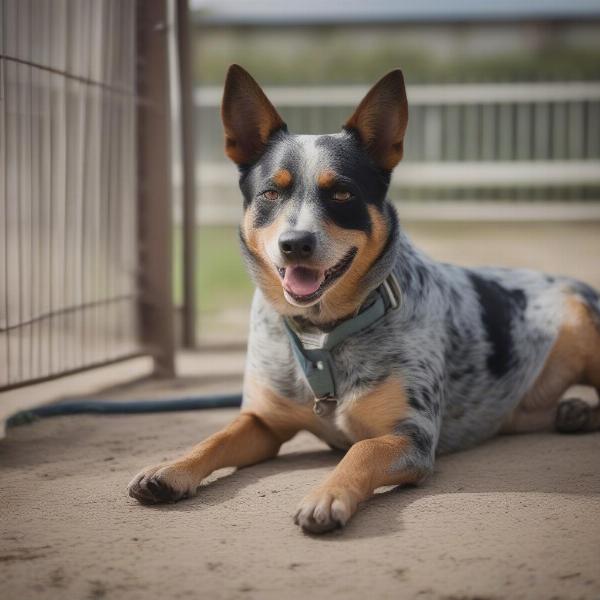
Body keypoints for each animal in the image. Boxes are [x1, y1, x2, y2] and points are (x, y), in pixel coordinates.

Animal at [129, 65, 600, 536]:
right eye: (270, 193)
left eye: (341, 193)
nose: (295, 244)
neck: (322, 336)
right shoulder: (262, 423)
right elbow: (215, 437)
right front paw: (170, 468)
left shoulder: (410, 436)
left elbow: (362, 450)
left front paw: (326, 496)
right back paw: (573, 412)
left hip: (584, 323)